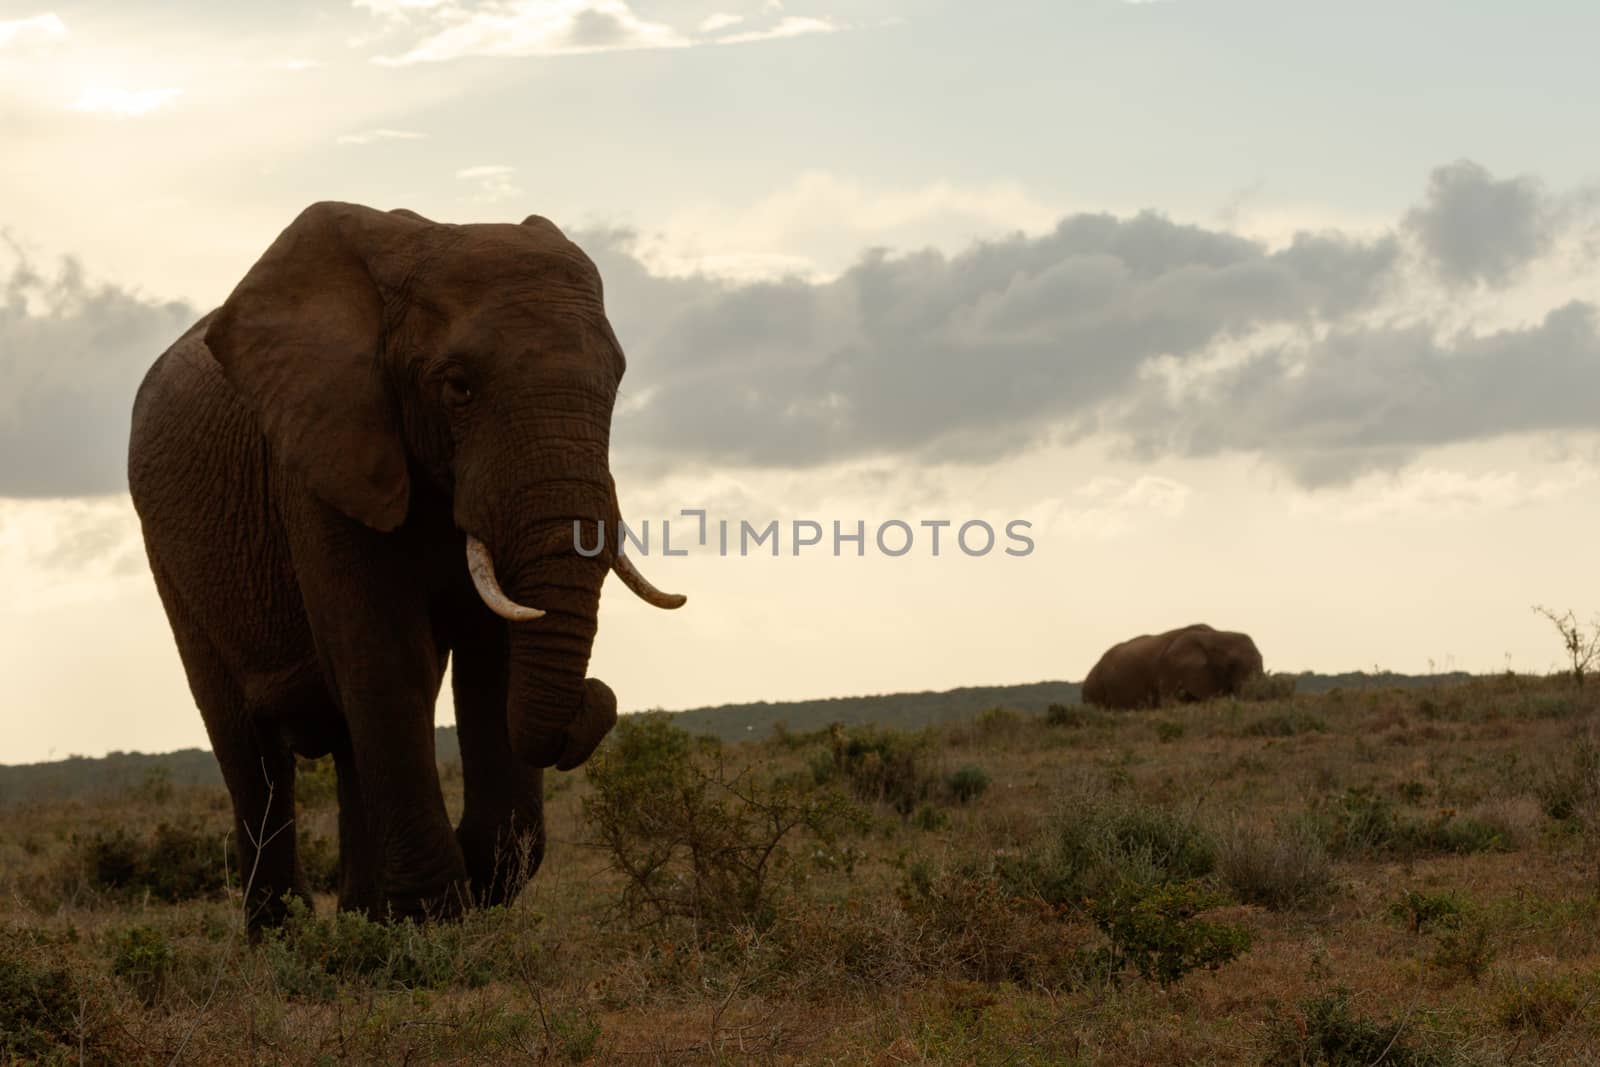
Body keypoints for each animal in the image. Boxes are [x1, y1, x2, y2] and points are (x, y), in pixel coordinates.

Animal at [129, 204, 688, 927]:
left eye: (616, 382)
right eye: (459, 387)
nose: (597, 699)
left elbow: (491, 654)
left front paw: (457, 888)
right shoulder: (320, 457)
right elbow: (386, 652)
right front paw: (436, 915)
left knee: (343, 736)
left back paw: (361, 919)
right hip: (171, 555)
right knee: (249, 746)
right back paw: (285, 934)